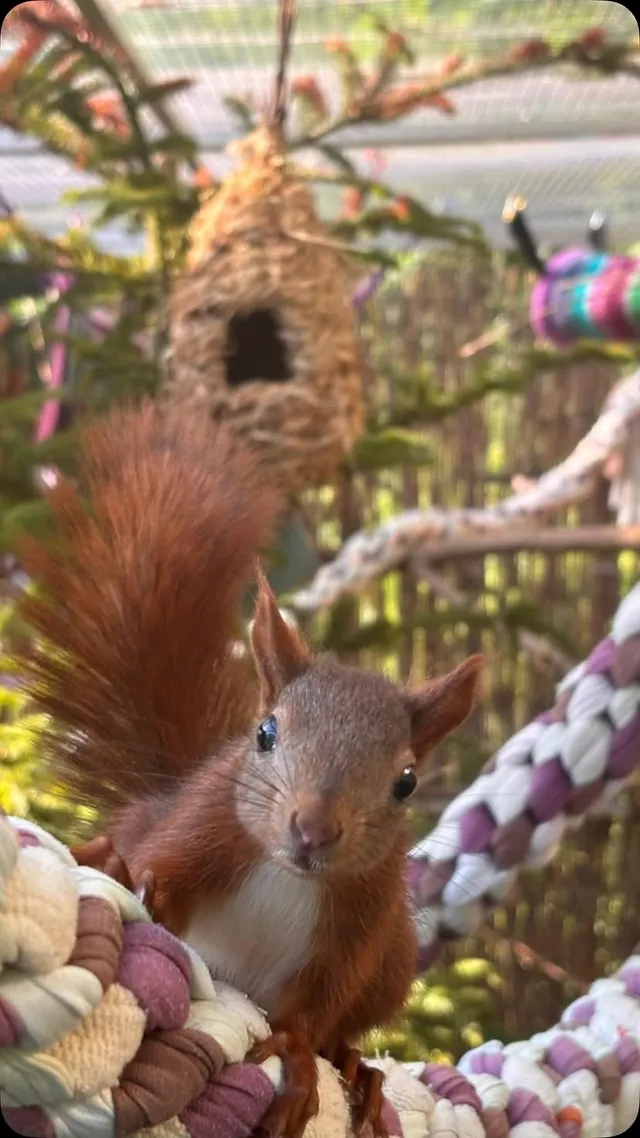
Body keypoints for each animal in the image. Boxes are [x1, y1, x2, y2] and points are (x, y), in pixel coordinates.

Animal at [15, 401, 483, 1138]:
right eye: (265, 733)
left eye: (406, 781)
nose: (313, 830)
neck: (285, 873)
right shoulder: (198, 830)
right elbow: (160, 881)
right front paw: (128, 876)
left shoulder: (359, 924)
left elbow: (316, 1007)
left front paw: (297, 1052)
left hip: (392, 961)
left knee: (346, 1027)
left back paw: (358, 1070)